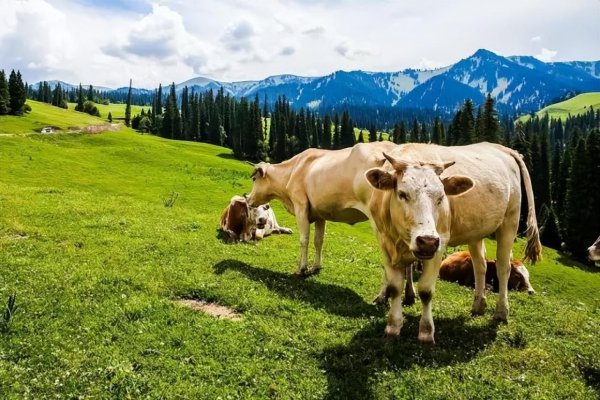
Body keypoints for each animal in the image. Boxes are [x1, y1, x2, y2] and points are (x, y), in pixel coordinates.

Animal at [246, 142, 396, 276]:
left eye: (254, 179)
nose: (248, 199)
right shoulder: (320, 214)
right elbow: (318, 241)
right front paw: (316, 267)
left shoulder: (300, 207)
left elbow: (304, 239)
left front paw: (302, 268)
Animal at [364, 141, 540, 344]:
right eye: (402, 194)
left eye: (441, 198)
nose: (427, 241)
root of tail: (503, 148)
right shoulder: (384, 241)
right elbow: (394, 287)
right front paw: (393, 327)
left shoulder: (439, 242)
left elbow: (426, 290)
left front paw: (426, 332)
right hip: (476, 232)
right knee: (480, 265)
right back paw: (478, 305)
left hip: (509, 222)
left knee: (503, 268)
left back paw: (501, 312)